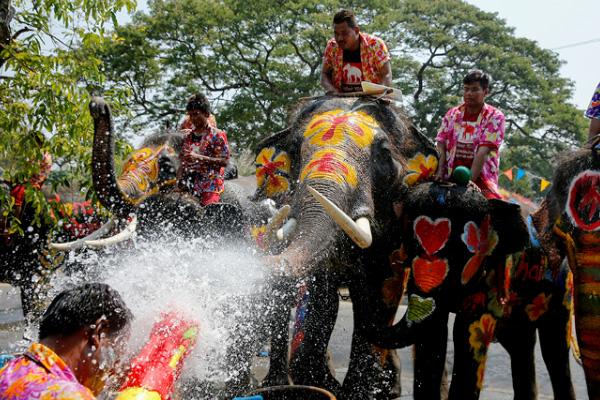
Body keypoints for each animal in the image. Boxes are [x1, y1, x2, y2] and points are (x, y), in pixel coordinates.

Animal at [244, 94, 436, 400]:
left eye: (383, 153)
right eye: (296, 149)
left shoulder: (396, 225)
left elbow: (382, 290)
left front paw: (358, 391)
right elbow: (323, 294)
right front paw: (324, 385)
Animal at [356, 181, 576, 400]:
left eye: (458, 253)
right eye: (410, 246)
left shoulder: (494, 272)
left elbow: (468, 333)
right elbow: (433, 333)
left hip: (563, 287)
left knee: (554, 348)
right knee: (520, 343)